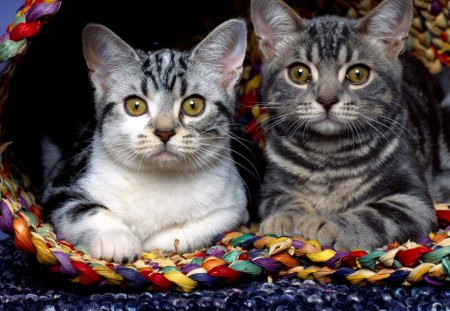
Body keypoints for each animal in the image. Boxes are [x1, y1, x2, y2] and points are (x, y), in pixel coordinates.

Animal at [40, 19, 248, 264]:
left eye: (193, 105)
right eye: (136, 106)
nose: (164, 132)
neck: (159, 177)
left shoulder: (233, 202)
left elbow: (204, 225)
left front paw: (155, 243)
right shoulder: (59, 186)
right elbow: (83, 209)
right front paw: (117, 239)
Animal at [251, 0, 448, 250]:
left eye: (357, 74)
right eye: (299, 73)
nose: (327, 99)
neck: (328, 158)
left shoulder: (413, 200)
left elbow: (373, 215)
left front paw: (329, 224)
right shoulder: (270, 189)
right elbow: (284, 198)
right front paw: (289, 216)